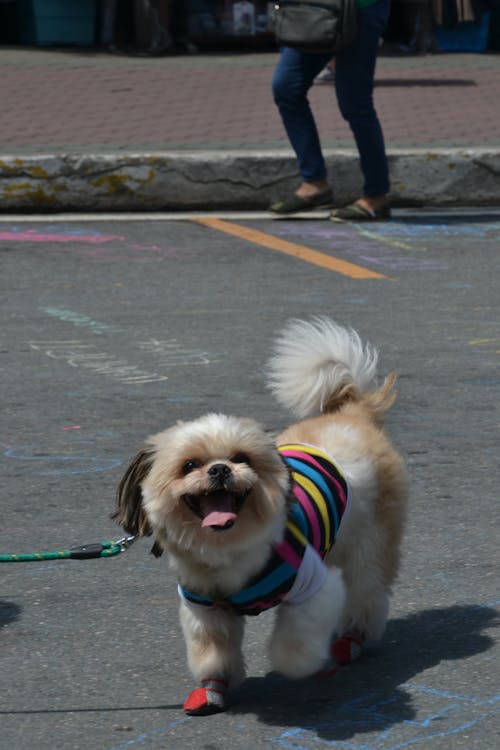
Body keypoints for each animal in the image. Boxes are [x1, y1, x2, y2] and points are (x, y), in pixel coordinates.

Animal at [115, 318, 408, 716]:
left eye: (242, 459)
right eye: (189, 465)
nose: (220, 469)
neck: (228, 549)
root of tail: (350, 415)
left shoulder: (314, 584)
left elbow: (295, 644)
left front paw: (301, 664)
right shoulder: (204, 606)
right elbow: (213, 650)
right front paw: (213, 689)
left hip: (369, 545)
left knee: (367, 592)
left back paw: (352, 640)